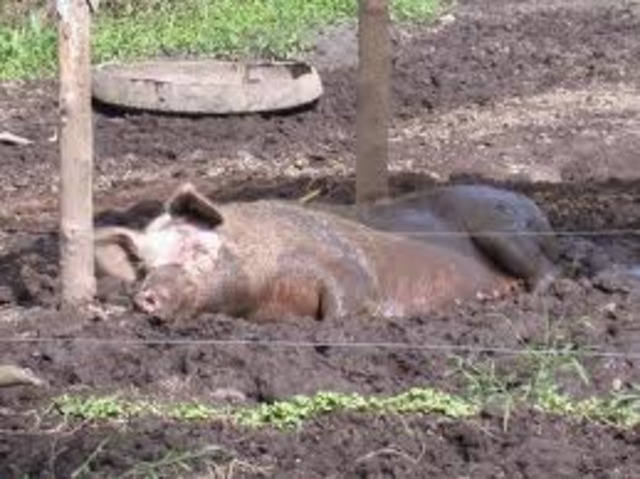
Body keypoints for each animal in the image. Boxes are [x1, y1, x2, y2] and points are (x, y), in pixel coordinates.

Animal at [95, 183, 528, 321]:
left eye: (197, 248)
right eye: (143, 267)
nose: (146, 295)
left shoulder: (343, 265)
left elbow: (342, 301)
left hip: (505, 230)